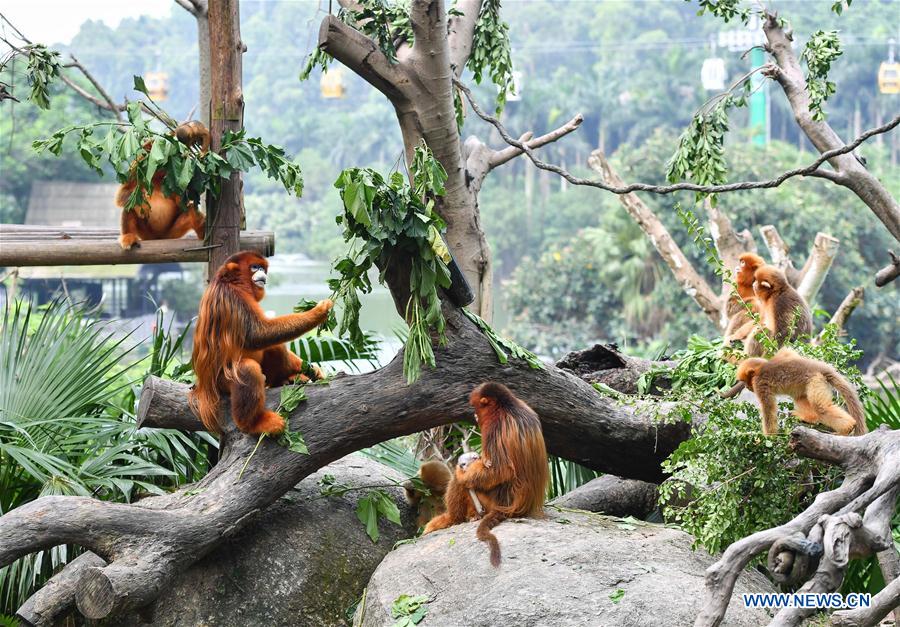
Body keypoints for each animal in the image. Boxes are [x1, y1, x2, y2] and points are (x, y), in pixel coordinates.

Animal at [116, 120, 211, 250]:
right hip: (146, 234)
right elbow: (123, 194)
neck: (155, 177)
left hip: (172, 233)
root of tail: (159, 237)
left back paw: (202, 233)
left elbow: (182, 201)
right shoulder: (136, 169)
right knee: (129, 206)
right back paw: (128, 237)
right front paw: (143, 203)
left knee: (192, 208)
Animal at [189, 251, 333, 435]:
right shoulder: (234, 296)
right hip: (221, 383)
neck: (230, 282)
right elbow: (257, 335)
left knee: (275, 347)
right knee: (248, 369)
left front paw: (311, 368)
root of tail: (204, 386)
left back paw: (284, 380)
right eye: (255, 267)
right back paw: (252, 424)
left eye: (263, 268)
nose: (262, 273)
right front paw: (318, 311)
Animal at [424, 382, 549, 567]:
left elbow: (501, 470)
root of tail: (516, 508)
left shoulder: (494, 426)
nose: (475, 415)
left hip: (490, 501)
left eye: (476, 407)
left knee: (460, 483)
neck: (508, 406)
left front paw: (464, 472)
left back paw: (453, 517)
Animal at [736, 348, 867, 436]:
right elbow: (788, 351)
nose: (747, 387)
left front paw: (768, 438)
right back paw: (811, 418)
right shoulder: (783, 355)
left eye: (747, 381)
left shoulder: (759, 383)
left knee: (820, 407)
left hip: (816, 380)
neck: (761, 368)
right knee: (800, 398)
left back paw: (847, 427)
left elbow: (768, 408)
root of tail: (819, 368)